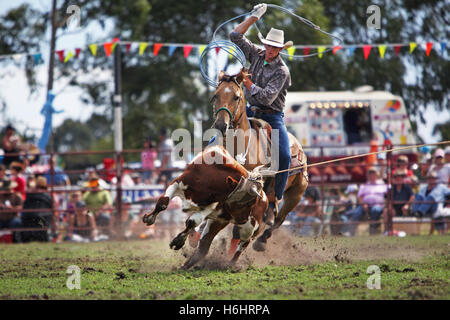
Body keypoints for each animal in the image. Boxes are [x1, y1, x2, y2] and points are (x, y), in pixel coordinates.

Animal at [211, 69, 310, 251]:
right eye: (216, 96)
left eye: (236, 97)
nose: (221, 125)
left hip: (296, 194)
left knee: (278, 219)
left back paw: (262, 241)